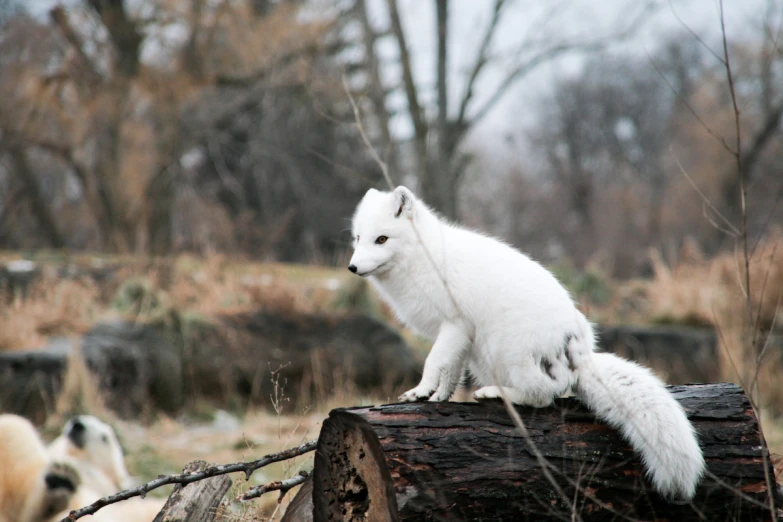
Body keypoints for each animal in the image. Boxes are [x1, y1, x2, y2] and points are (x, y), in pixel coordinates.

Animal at [348, 187, 704, 500]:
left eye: (382, 239)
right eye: (358, 238)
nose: (352, 267)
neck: (424, 258)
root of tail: (581, 354)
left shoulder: (454, 324)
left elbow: (433, 362)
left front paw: (420, 392)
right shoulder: (462, 336)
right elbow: (451, 370)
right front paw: (439, 397)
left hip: (508, 350)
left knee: (543, 397)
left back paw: (497, 393)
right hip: (483, 353)